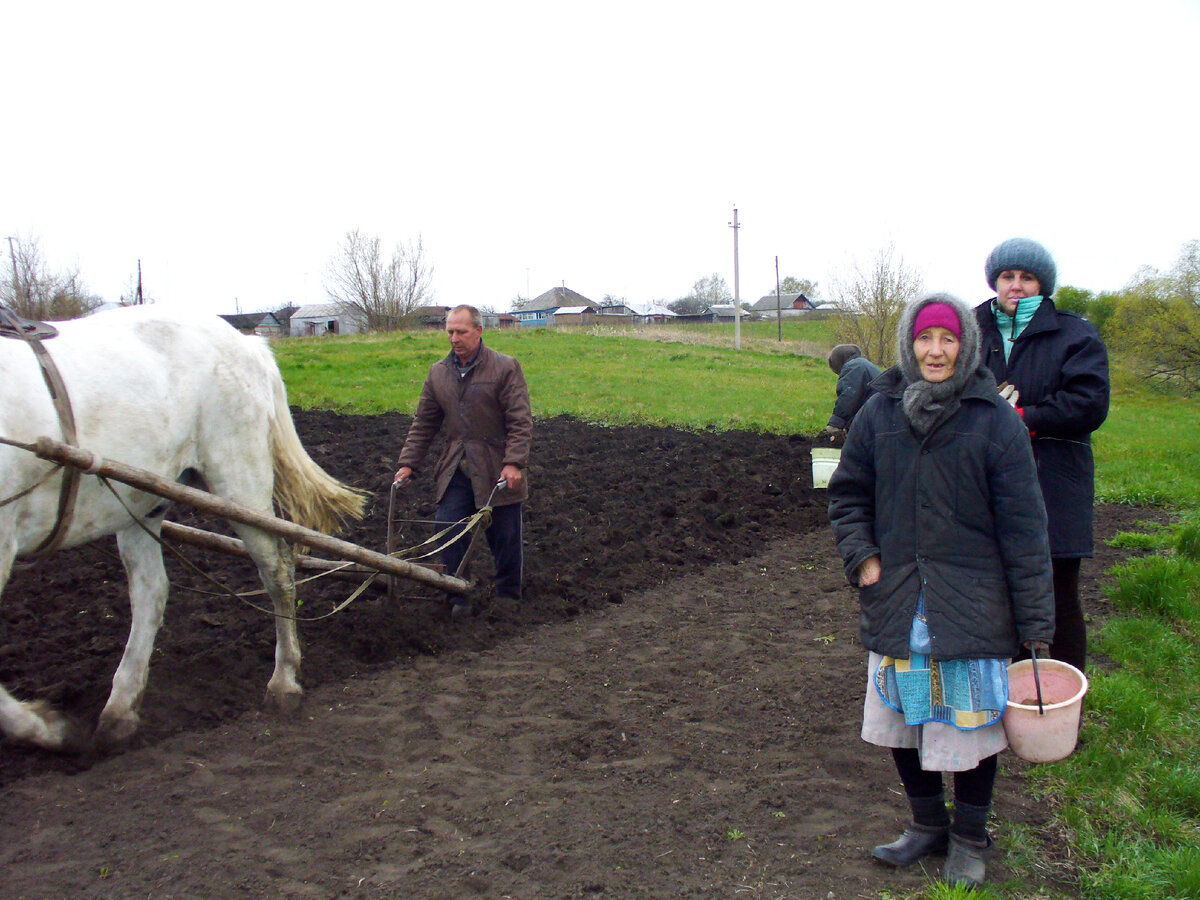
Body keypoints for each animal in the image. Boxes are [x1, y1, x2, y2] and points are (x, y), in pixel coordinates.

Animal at [1, 309, 364, 753]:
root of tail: (246, 344)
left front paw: (46, 727)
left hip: (239, 482)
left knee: (277, 571)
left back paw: (284, 681)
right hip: (142, 500)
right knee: (151, 592)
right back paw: (120, 709)